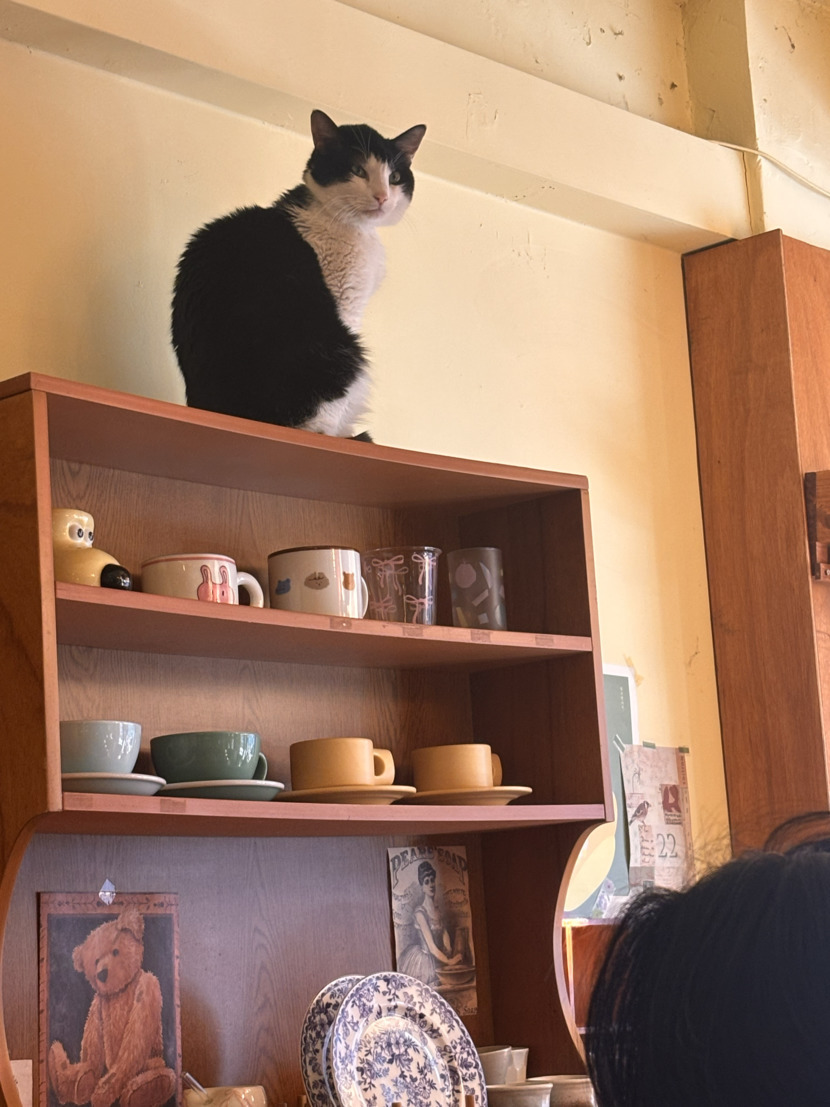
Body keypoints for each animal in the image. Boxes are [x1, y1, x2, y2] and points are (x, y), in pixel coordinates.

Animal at [171, 110, 426, 441]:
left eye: (394, 177)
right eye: (357, 170)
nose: (382, 196)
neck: (356, 229)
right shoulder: (344, 297)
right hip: (336, 349)